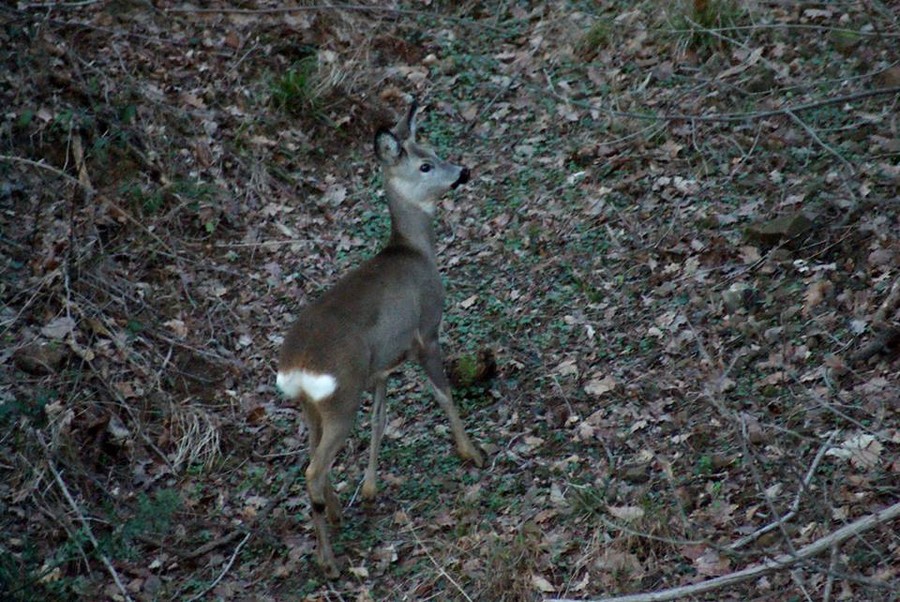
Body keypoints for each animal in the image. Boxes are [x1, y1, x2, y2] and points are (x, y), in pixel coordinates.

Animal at [276, 99, 486, 576]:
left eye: (434, 148)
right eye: (425, 165)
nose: (463, 171)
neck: (415, 253)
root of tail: (297, 366)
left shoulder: (381, 368)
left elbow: (380, 419)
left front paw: (371, 488)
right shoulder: (426, 331)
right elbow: (444, 393)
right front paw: (471, 452)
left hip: (312, 405)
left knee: (312, 458)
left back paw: (334, 516)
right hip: (341, 395)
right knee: (313, 470)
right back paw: (329, 560)